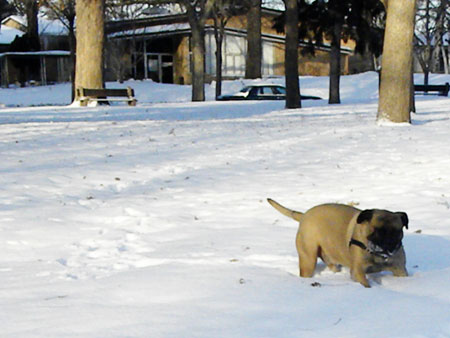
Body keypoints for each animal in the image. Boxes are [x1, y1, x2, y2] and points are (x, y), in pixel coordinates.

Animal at [268, 199, 412, 286]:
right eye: (377, 231)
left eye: (397, 231)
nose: (389, 242)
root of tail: (304, 215)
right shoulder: (358, 271)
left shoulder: (399, 269)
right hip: (308, 258)